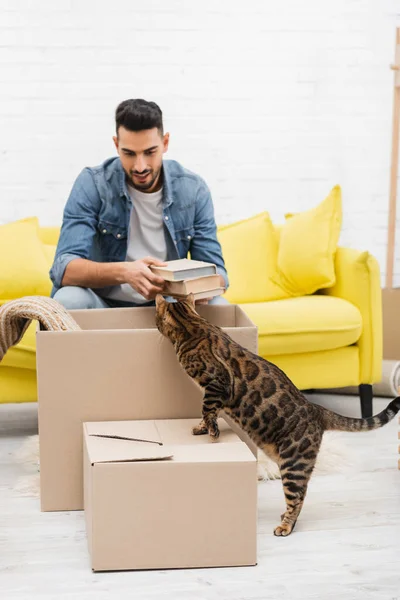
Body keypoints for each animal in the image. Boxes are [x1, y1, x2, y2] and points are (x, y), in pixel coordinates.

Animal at [155, 292, 400, 536]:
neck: (192, 324)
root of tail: (317, 410)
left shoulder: (217, 385)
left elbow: (207, 410)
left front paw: (211, 432)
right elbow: (208, 413)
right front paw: (201, 427)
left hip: (293, 465)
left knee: (297, 499)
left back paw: (285, 526)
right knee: (301, 495)